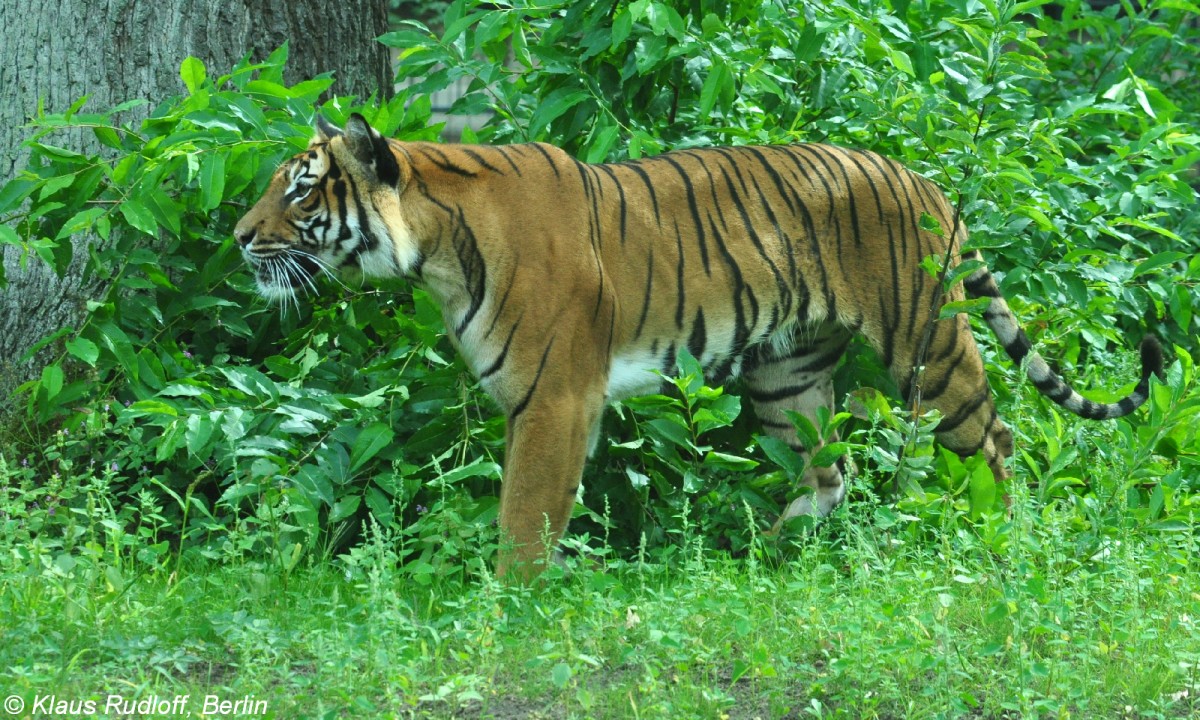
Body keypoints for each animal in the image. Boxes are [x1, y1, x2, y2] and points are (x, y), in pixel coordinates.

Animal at [234, 115, 1161, 583]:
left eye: (302, 189)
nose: (240, 238)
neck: (433, 247)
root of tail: (926, 180)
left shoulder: (555, 399)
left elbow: (523, 514)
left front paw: (509, 602)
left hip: (924, 344)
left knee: (995, 440)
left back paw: (999, 546)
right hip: (787, 373)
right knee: (831, 471)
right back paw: (763, 554)